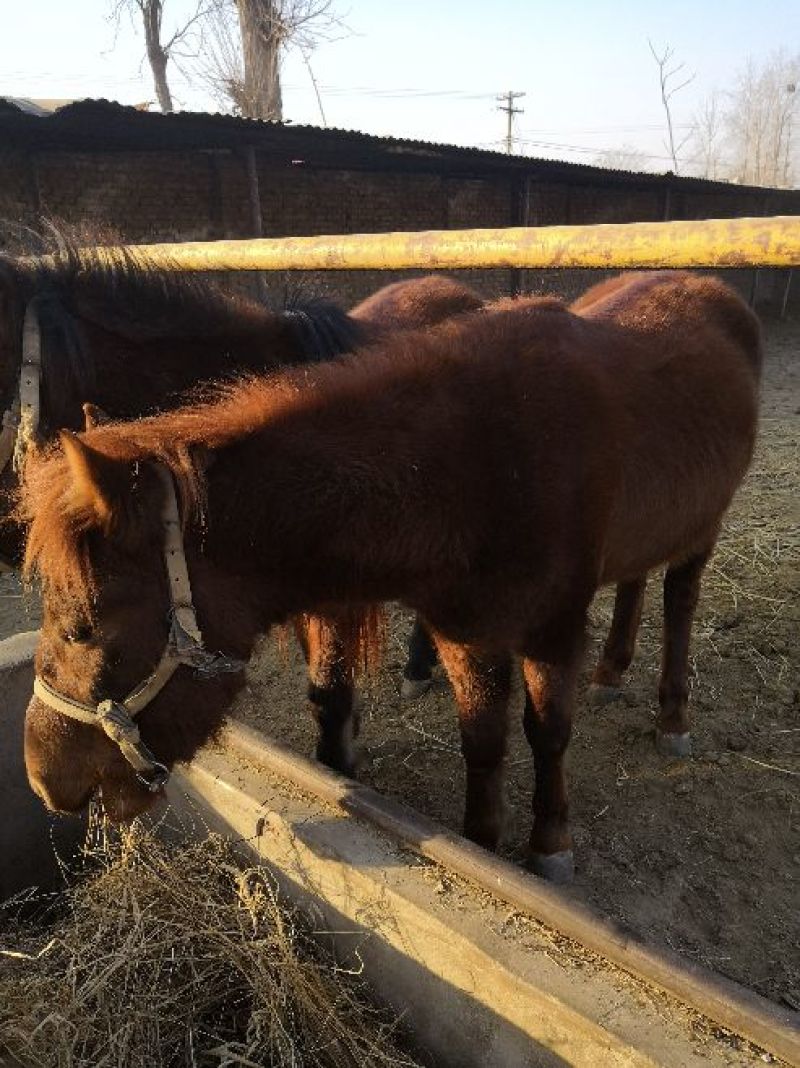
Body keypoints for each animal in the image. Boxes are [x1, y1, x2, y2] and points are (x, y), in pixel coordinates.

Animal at [20, 270, 761, 882]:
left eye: (83, 627)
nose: (41, 778)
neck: (475, 466)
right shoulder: (466, 634)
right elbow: (482, 744)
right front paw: (481, 846)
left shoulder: (552, 630)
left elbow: (547, 735)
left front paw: (549, 847)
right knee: (636, 579)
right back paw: (610, 672)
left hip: (704, 529)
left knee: (680, 599)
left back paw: (673, 716)